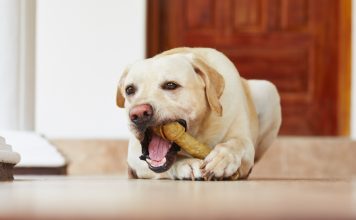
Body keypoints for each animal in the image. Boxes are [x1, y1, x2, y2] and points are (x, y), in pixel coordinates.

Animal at [117, 47, 280, 180]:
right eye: (129, 89)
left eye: (171, 85)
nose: (138, 114)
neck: (200, 132)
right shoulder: (134, 154)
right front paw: (187, 163)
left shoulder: (243, 139)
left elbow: (236, 143)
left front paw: (223, 158)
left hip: (269, 90)